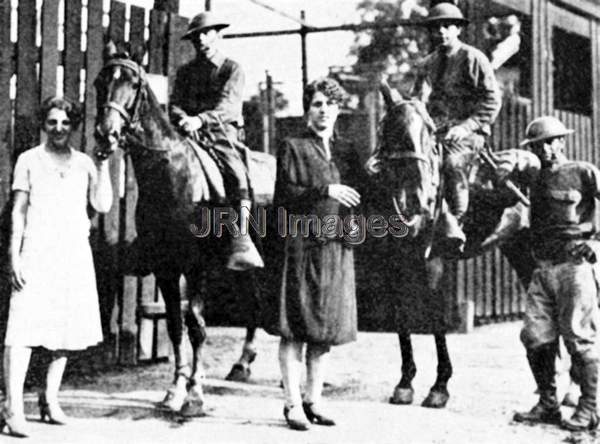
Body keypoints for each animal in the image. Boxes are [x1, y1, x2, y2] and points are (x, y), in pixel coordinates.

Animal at [91, 49, 264, 416]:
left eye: (134, 83)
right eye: (100, 82)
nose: (105, 134)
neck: (171, 173)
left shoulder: (196, 267)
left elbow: (196, 327)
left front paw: (195, 394)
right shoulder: (166, 268)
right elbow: (173, 325)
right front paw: (174, 390)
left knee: (261, 305)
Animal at [372, 83, 536, 410]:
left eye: (430, 129)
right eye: (391, 129)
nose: (416, 200)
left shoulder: (432, 262)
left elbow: (437, 318)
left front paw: (439, 387)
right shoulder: (395, 264)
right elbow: (401, 317)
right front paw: (405, 383)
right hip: (518, 249)